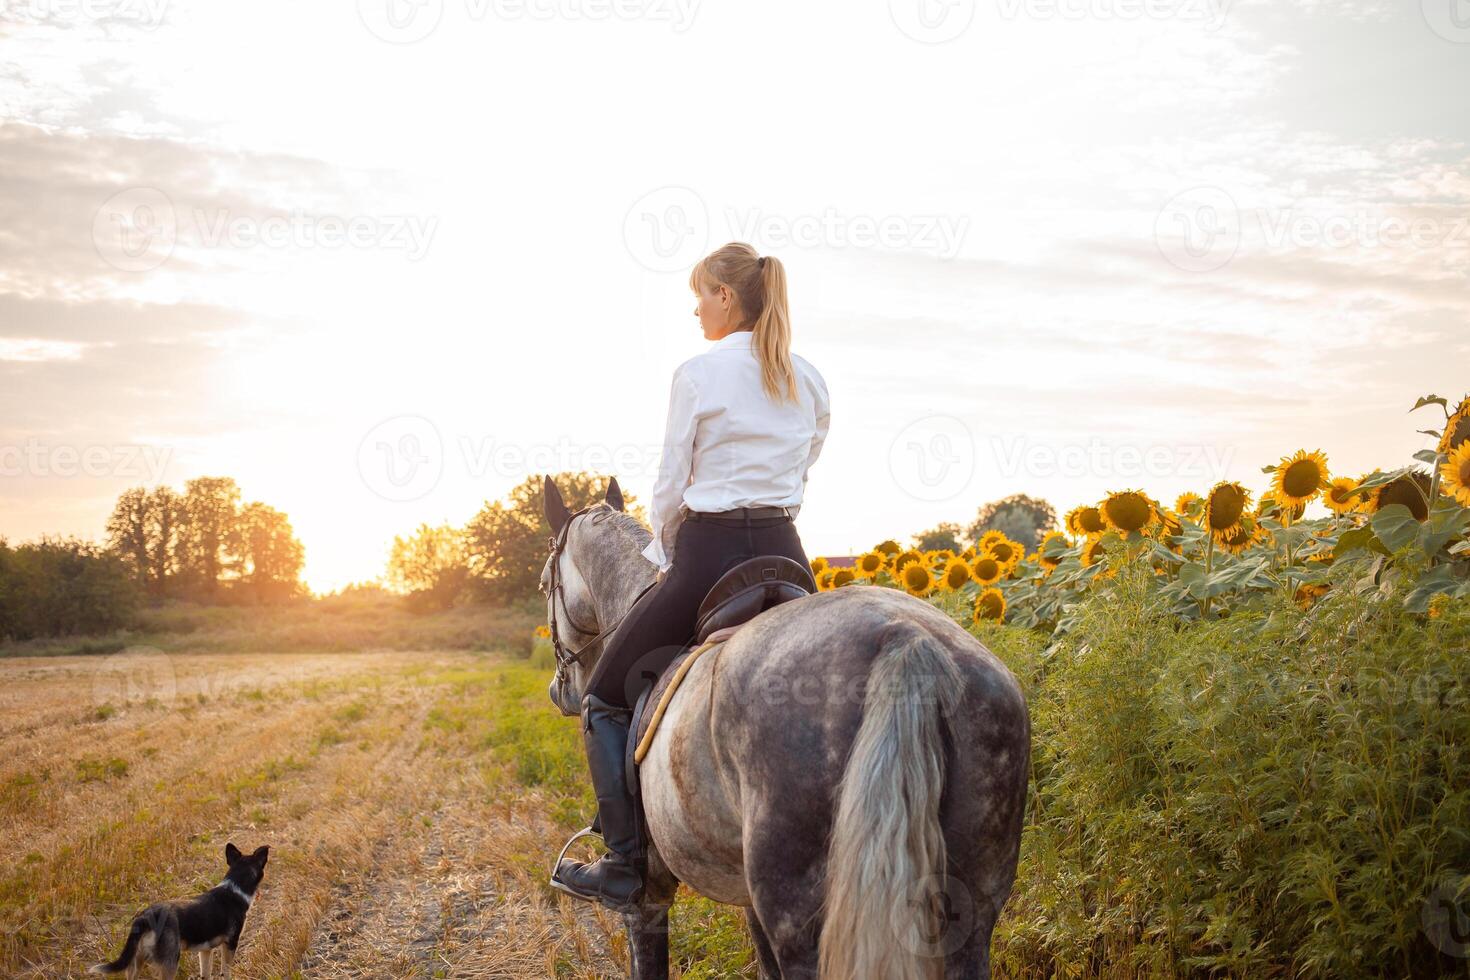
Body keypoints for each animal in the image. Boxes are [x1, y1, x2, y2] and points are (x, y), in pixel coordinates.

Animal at [91, 846, 269, 980]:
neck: (235, 888)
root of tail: (146, 917)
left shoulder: (205, 950)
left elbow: (206, 973)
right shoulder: (230, 943)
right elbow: (226, 971)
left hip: (136, 962)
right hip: (170, 962)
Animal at [543, 478, 1034, 975]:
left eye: (545, 583)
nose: (558, 691)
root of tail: (906, 639)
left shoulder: (648, 900)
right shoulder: (746, 899)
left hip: (796, 910)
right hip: (970, 906)